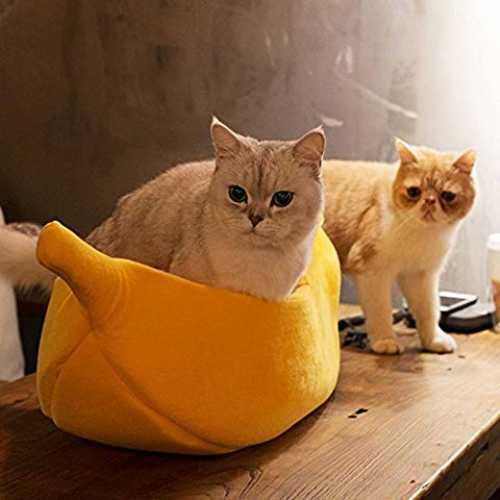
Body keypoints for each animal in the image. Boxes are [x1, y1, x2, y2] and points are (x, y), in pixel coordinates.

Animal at [322, 139, 477, 354]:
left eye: (447, 195)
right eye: (414, 192)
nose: (429, 201)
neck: (419, 235)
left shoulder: (420, 276)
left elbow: (429, 310)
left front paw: (433, 340)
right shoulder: (372, 274)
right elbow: (380, 311)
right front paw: (384, 340)